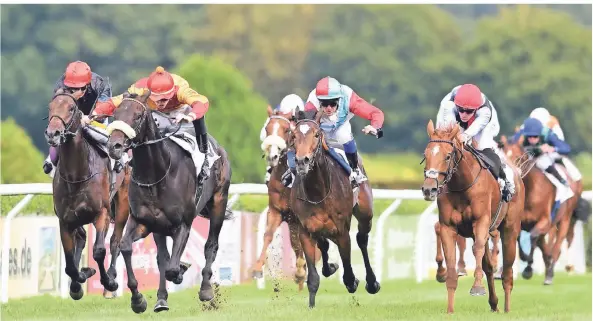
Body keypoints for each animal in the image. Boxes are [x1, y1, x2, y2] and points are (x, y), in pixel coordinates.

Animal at [44, 88, 131, 300]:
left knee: (115, 242)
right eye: (50, 107)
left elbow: (99, 251)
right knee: (82, 238)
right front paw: (79, 281)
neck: (77, 174)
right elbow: (69, 263)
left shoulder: (101, 213)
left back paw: (111, 280)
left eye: (71, 107)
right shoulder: (65, 220)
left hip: (122, 204)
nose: (53, 133)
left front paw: (108, 282)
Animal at [106, 90, 231, 312]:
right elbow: (127, 247)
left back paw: (205, 289)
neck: (156, 174)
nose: (115, 146)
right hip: (159, 227)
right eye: (115, 115)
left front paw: (181, 271)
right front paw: (138, 299)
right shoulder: (142, 221)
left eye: (137, 116)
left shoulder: (183, 224)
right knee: (162, 258)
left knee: (210, 245)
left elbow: (173, 267)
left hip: (219, 202)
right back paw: (162, 299)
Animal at [253, 105, 308, 290]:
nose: (273, 156)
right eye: (267, 129)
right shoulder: (277, 210)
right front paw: (257, 268)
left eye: (286, 129)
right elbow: (268, 235)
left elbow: (300, 243)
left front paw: (301, 272)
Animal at [288, 109, 380, 306]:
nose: (302, 161)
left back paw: (371, 282)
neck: (317, 192)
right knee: (324, 244)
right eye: (294, 135)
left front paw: (354, 280)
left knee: (362, 239)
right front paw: (311, 306)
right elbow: (313, 278)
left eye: (316, 134)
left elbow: (349, 275)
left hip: (365, 213)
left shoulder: (342, 231)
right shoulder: (305, 231)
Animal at [420, 120, 524, 312]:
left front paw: (477, 287)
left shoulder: (481, 222)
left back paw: (507, 308)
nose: (429, 189)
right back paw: (494, 303)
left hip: (510, 229)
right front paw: (450, 310)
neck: (462, 185)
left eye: (447, 156)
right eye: (426, 154)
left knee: (507, 271)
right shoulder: (448, 227)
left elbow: (477, 249)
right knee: (489, 266)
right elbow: (452, 262)